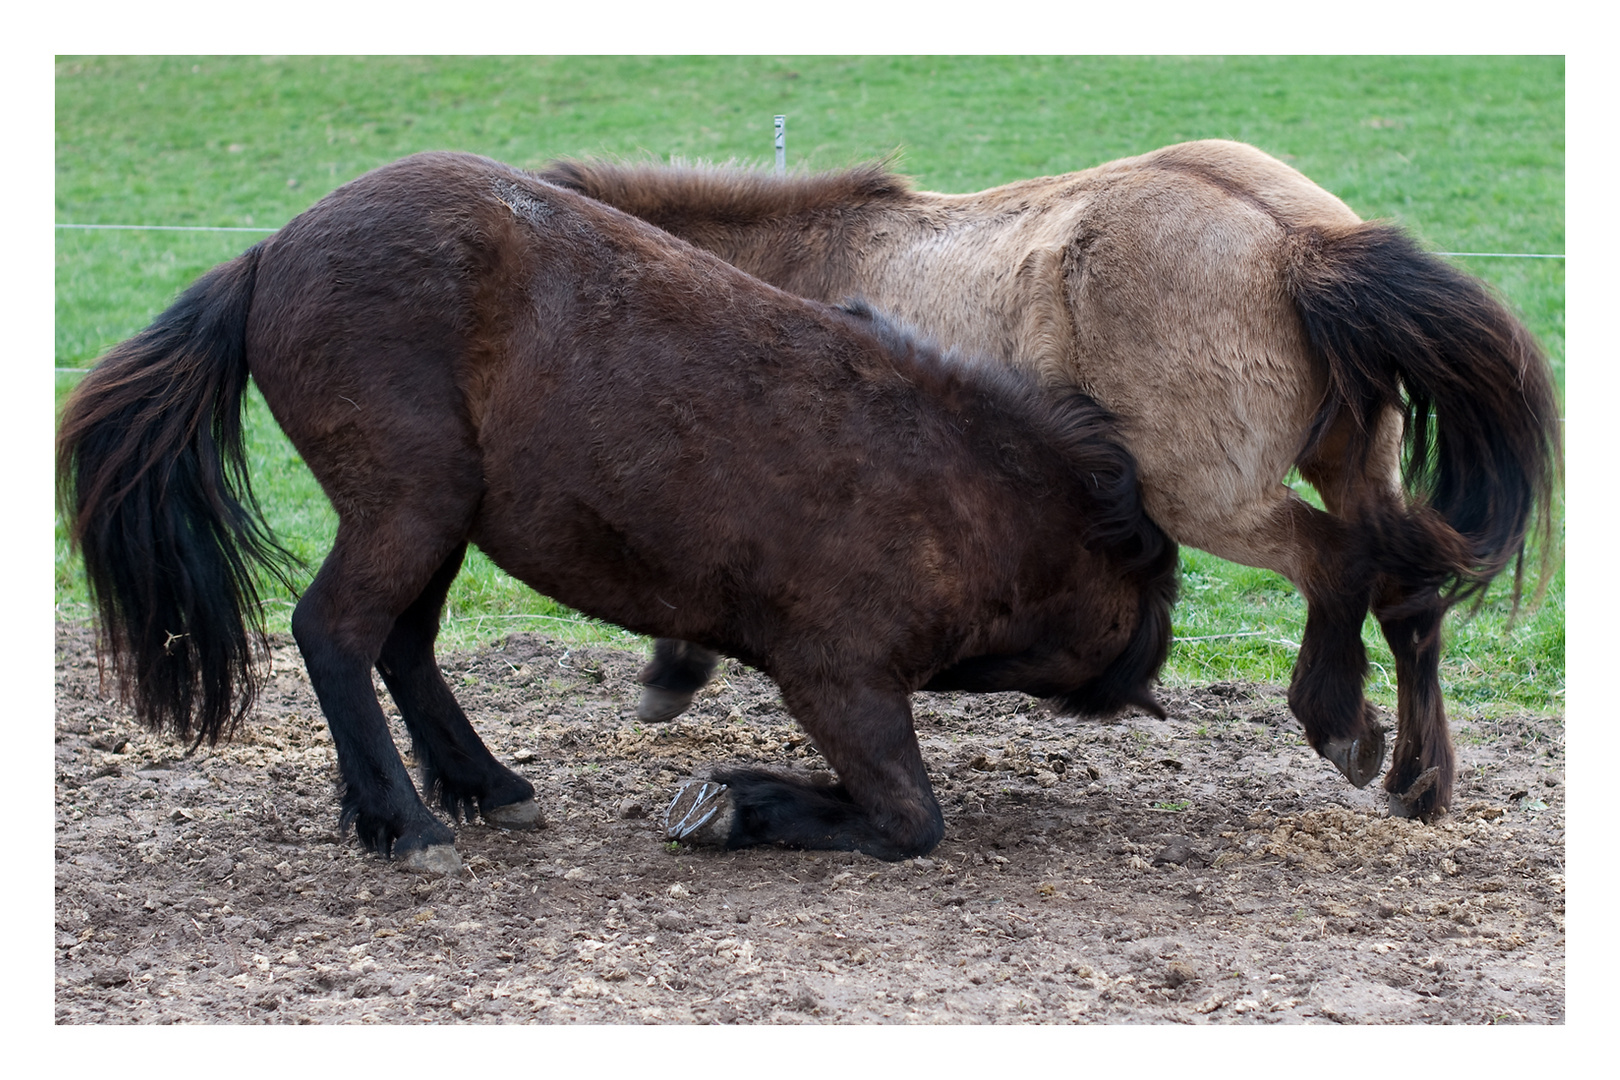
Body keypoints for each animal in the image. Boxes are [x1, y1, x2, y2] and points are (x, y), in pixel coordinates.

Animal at [59, 152, 1179, 874]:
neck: (967, 491)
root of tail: (268, 255)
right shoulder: (841, 678)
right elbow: (909, 821)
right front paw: (741, 807)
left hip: (435, 519)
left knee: (402, 646)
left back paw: (479, 786)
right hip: (409, 507)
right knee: (334, 633)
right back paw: (408, 824)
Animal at [547, 141, 1568, 819]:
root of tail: (1296, 243)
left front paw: (674, 671)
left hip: (1212, 498)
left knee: (1340, 562)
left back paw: (1340, 725)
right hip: (1352, 464)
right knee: (1407, 595)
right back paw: (1419, 782)